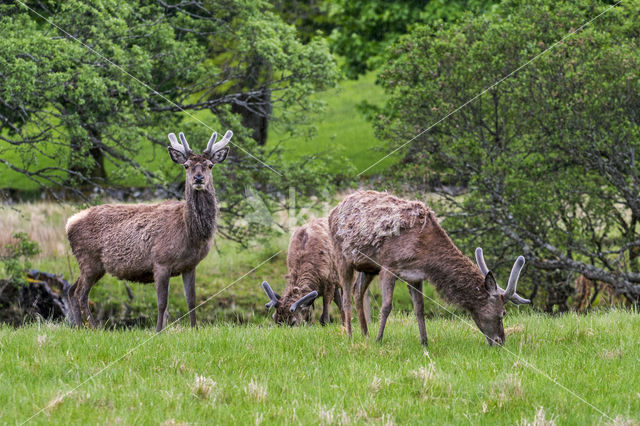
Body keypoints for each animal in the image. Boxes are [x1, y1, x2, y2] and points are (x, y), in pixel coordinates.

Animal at [62, 130, 231, 332]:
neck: (190, 234)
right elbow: (162, 303)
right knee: (80, 293)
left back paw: (79, 327)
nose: (198, 178)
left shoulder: (190, 265)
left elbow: (191, 300)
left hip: (92, 265)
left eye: (210, 165)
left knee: (71, 290)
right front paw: (158, 331)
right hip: (89, 260)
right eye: (186, 166)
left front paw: (194, 329)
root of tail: (70, 222)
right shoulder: (161, 261)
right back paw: (95, 328)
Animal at [330, 191, 528, 346]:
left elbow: (420, 308)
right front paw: (379, 339)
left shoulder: (415, 275)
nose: (500, 341)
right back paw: (350, 335)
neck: (425, 252)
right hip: (342, 256)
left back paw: (365, 334)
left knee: (358, 291)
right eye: (503, 313)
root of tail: (333, 211)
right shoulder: (388, 266)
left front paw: (424, 342)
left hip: (368, 267)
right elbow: (387, 306)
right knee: (346, 296)